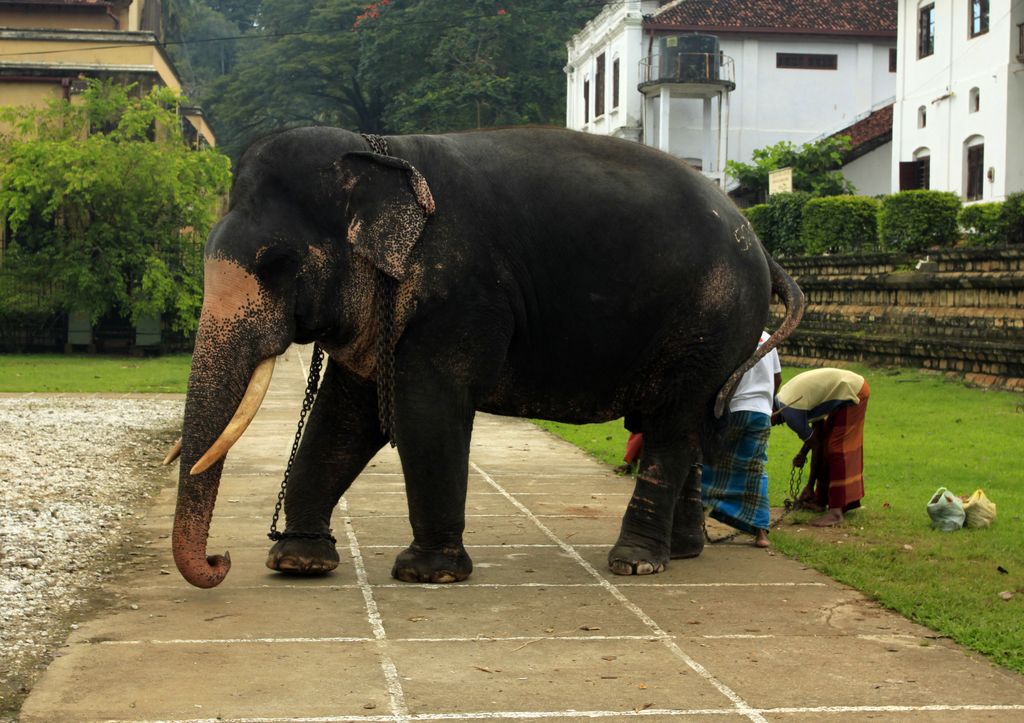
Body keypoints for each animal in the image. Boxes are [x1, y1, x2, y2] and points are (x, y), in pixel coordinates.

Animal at [169, 125, 798, 585]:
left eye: (275, 263)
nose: (221, 561)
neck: (381, 151)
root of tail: (761, 246)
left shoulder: (459, 298)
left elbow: (426, 412)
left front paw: (428, 574)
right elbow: (344, 418)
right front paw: (299, 563)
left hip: (711, 318)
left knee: (671, 425)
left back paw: (634, 562)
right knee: (684, 424)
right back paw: (683, 553)